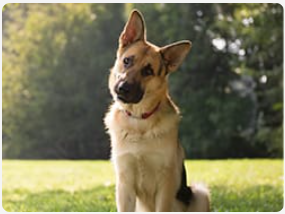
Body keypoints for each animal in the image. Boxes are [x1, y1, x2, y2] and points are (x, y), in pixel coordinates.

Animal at [103, 9, 209, 211]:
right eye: (127, 61)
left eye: (148, 71)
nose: (122, 89)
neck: (139, 120)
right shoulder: (124, 186)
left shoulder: (165, 185)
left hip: (200, 193)